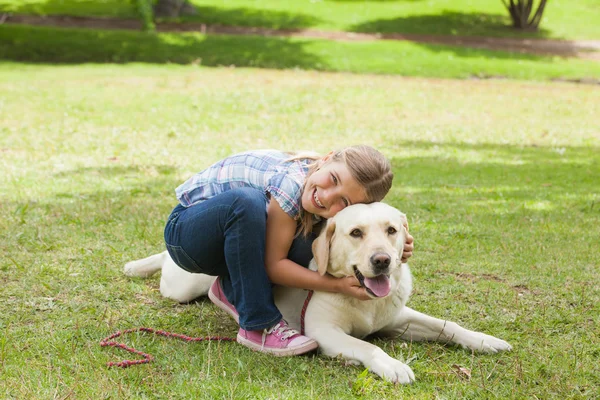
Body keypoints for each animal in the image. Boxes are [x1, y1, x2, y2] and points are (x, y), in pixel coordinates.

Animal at [123, 202, 510, 382]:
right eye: (356, 233)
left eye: (391, 230)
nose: (382, 260)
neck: (363, 300)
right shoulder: (324, 331)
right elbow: (367, 346)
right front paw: (392, 366)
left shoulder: (396, 318)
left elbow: (448, 325)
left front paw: (485, 340)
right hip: (184, 282)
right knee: (167, 259)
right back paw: (138, 266)